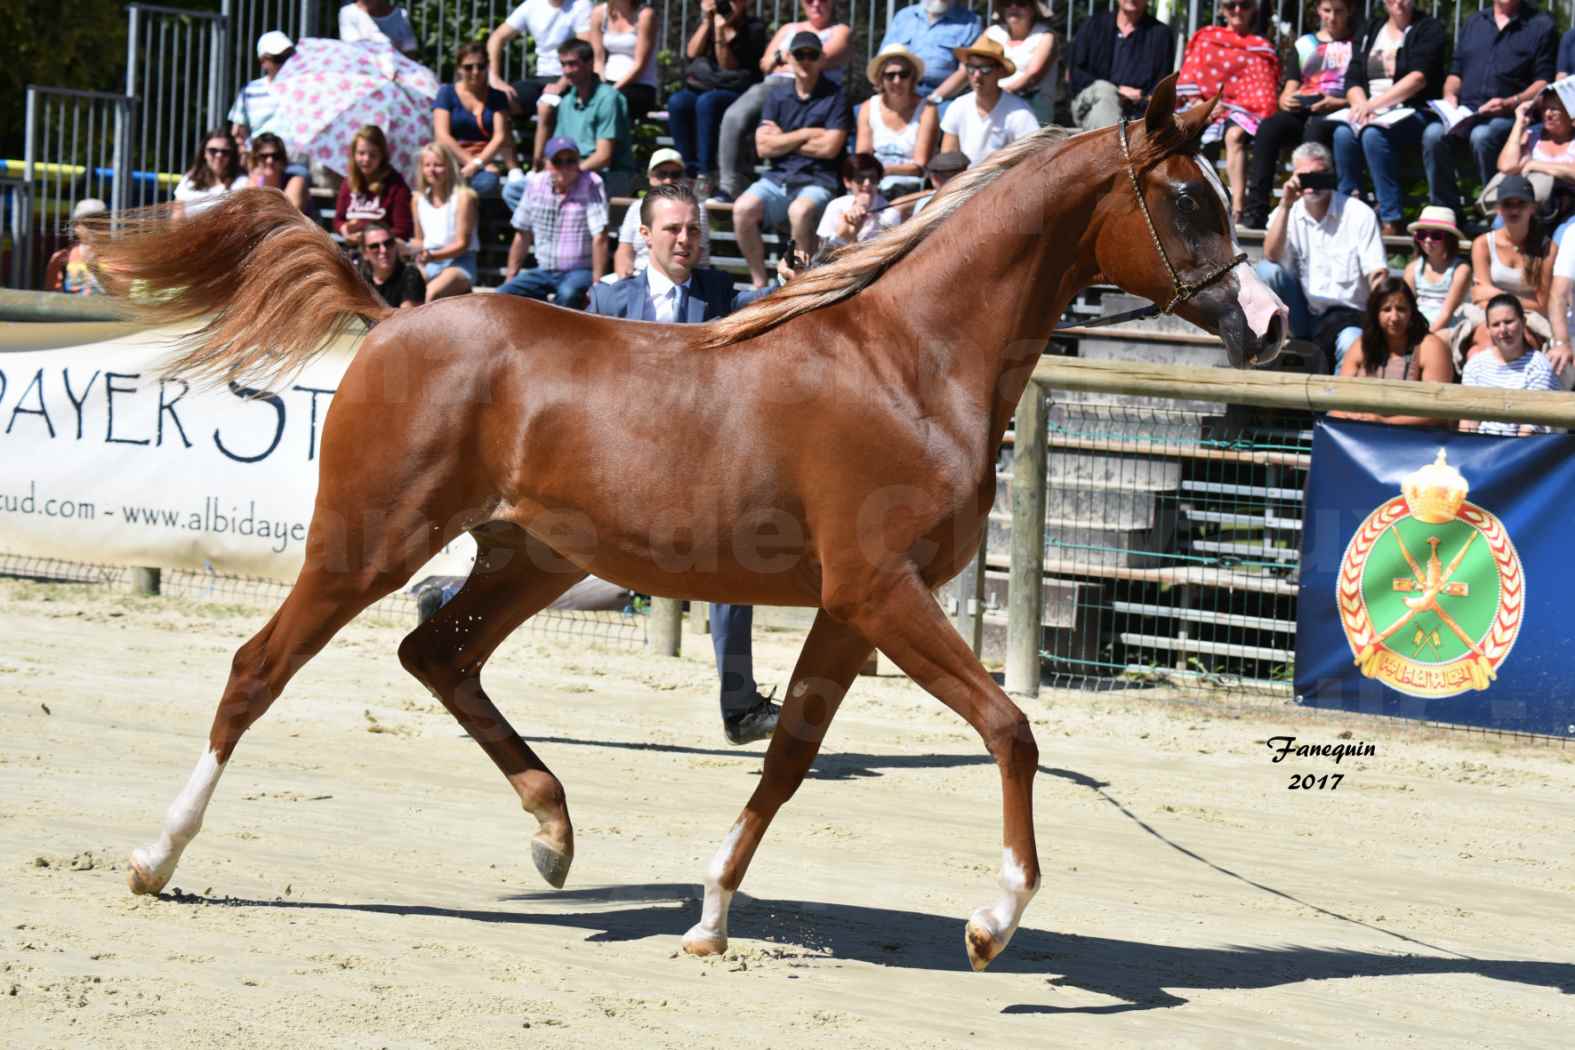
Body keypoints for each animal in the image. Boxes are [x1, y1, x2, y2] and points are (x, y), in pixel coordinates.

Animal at [89, 77, 1278, 976]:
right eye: (1188, 197)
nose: (1266, 327)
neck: (908, 363)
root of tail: (396, 315)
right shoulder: (883, 591)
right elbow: (1010, 727)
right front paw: (995, 921)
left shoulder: (847, 610)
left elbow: (788, 759)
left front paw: (708, 918)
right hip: (369, 541)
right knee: (260, 668)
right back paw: (156, 857)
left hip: (528, 558)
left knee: (436, 654)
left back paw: (553, 835)